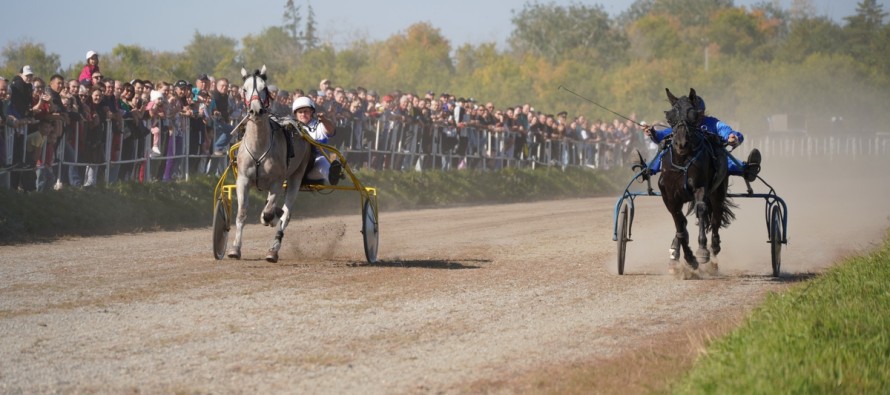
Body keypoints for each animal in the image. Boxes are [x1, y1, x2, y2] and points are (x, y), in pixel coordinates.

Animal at [656, 88, 732, 270]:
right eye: (670, 117)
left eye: (693, 115)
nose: (681, 144)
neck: (682, 162)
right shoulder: (670, 196)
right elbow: (679, 222)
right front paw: (689, 257)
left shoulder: (700, 188)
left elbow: (702, 210)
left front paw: (702, 251)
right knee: (683, 223)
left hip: (718, 191)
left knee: (716, 216)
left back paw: (714, 247)